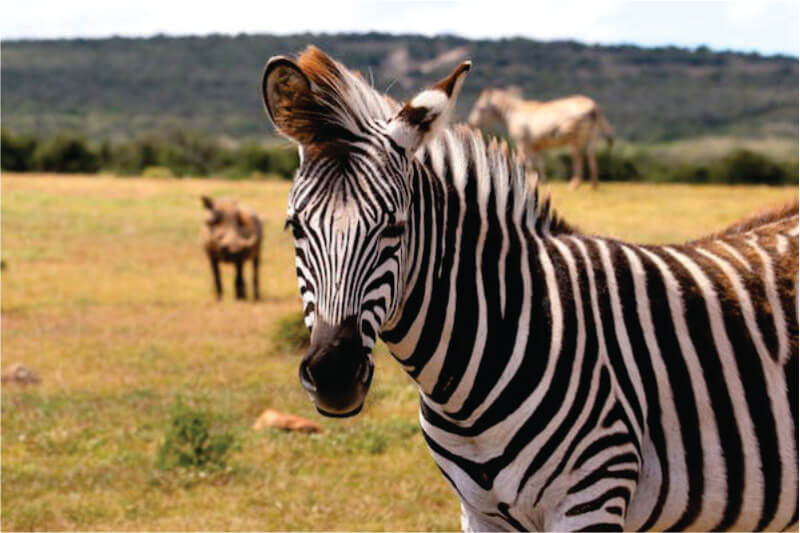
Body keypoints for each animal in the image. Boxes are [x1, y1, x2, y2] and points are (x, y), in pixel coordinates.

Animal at [468, 87, 612, 187]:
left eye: (480, 108)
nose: (471, 122)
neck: (513, 113)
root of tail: (593, 107)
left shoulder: (522, 142)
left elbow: (527, 162)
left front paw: (527, 181)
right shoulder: (537, 146)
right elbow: (539, 163)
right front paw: (541, 181)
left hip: (575, 137)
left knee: (578, 156)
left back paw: (575, 183)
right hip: (593, 135)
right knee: (591, 154)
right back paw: (594, 184)